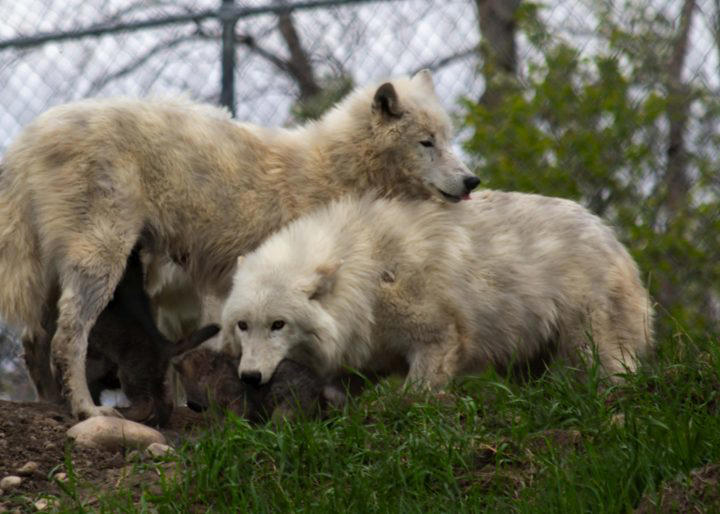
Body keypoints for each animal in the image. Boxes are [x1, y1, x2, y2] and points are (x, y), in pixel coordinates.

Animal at [0, 70, 476, 420]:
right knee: (68, 338)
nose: (472, 180)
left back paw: (52, 406)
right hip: (101, 262)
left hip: (58, 275)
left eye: (448, 138)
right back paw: (87, 411)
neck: (334, 173)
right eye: (426, 143)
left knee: (34, 341)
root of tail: (31, 134)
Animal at [222, 191, 655, 389]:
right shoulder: (360, 359)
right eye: (243, 325)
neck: (364, 272)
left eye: (278, 324)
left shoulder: (438, 338)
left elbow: (418, 392)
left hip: (592, 345)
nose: (250, 377)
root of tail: (612, 237)